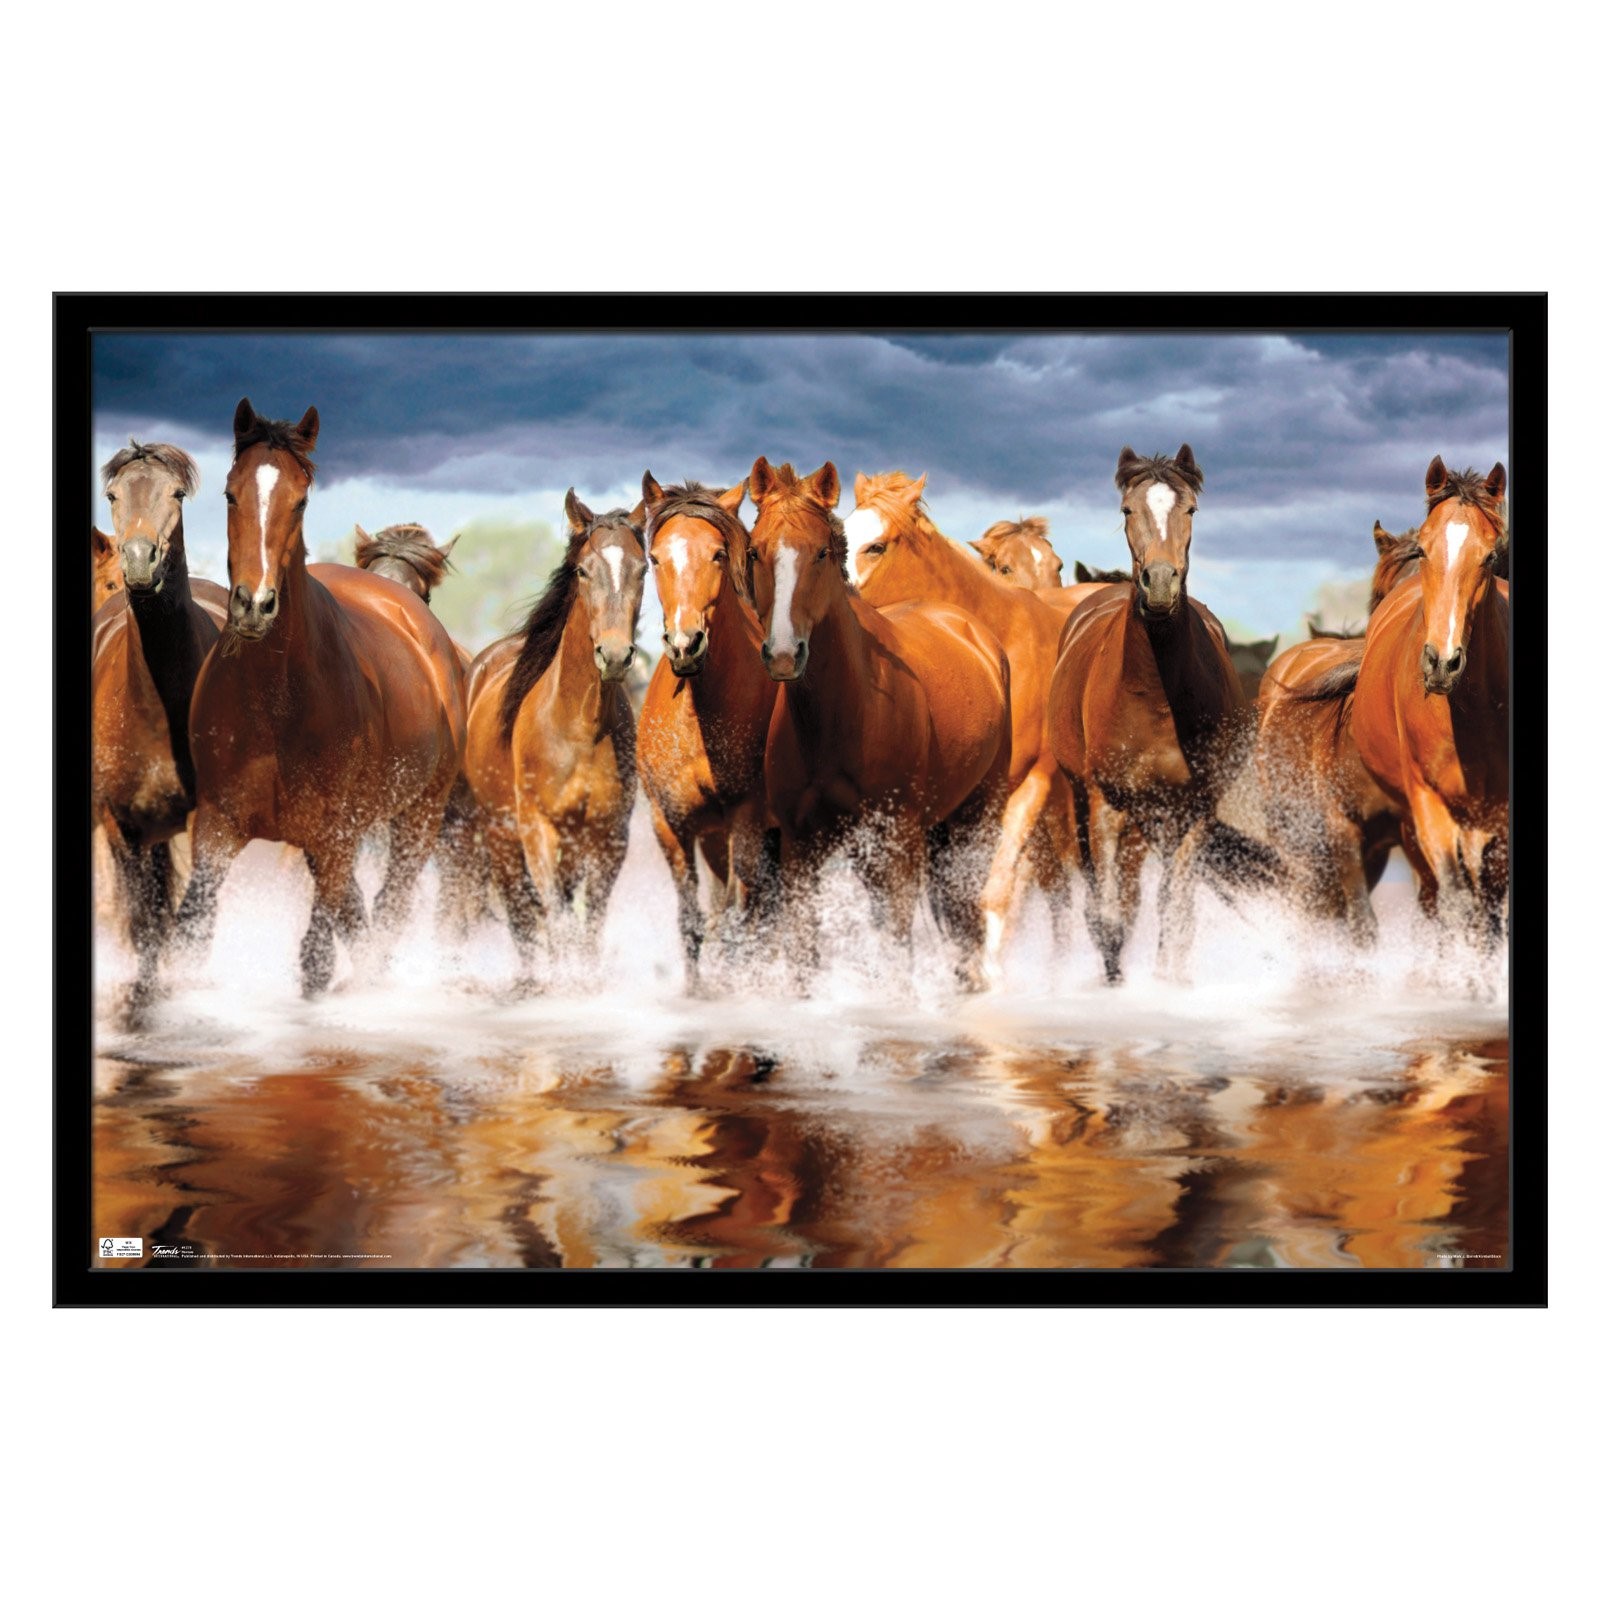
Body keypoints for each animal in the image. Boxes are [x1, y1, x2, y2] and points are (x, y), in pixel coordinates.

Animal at [174, 401, 466, 997]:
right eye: (230, 493)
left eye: (301, 499)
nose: (254, 605)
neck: (275, 701)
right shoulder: (217, 829)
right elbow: (194, 931)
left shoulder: (333, 838)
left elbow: (334, 943)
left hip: (418, 818)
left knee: (387, 908)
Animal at [463, 491, 647, 973]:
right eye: (583, 570)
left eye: (643, 568)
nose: (614, 655)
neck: (579, 726)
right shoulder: (538, 831)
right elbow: (556, 925)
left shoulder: (607, 838)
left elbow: (587, 932)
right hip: (501, 837)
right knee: (523, 920)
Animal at [634, 475, 778, 989]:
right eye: (656, 557)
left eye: (718, 553)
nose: (685, 644)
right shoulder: (671, 824)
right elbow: (693, 921)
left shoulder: (747, 821)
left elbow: (739, 919)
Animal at [747, 459, 1012, 988]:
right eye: (754, 551)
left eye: (822, 552)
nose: (784, 654)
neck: (846, 714)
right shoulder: (801, 849)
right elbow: (804, 955)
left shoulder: (896, 849)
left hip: (974, 820)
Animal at [1048, 445, 1269, 983]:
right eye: (1127, 509)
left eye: (1191, 509)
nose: (1161, 585)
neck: (1154, 697)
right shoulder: (1105, 805)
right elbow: (1110, 914)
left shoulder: (1192, 812)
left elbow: (1177, 911)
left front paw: (1170, 982)